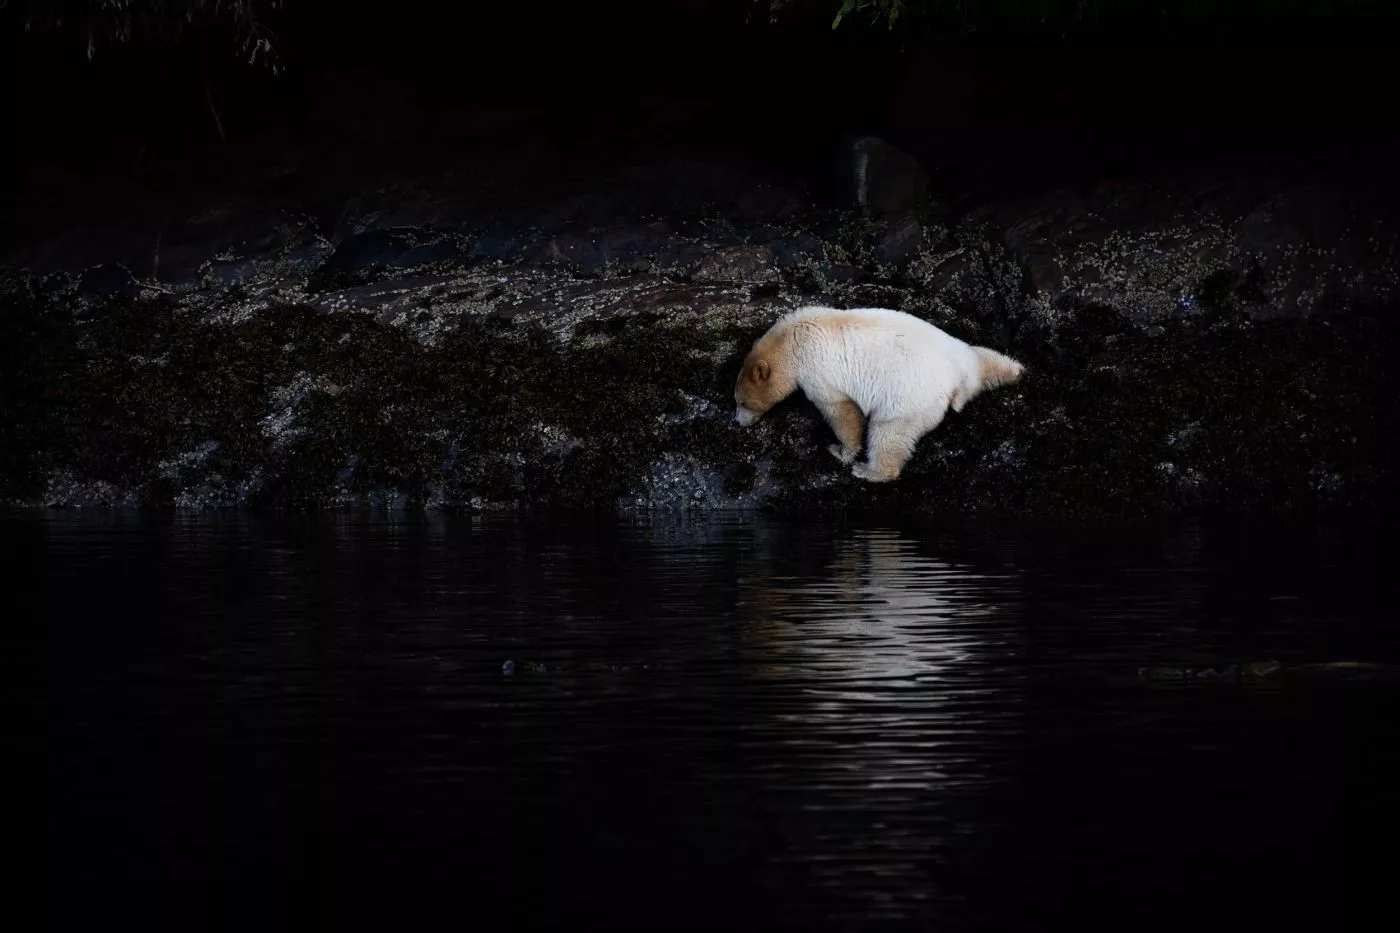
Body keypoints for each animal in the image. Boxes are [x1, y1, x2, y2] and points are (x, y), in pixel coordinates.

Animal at [732, 305, 1025, 483]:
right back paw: (1015, 369)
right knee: (983, 357)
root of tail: (957, 380)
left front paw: (841, 451)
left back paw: (869, 470)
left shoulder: (817, 370)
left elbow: (840, 410)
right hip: (963, 354)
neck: (792, 340)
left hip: (908, 398)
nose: (738, 422)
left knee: (889, 432)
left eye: (742, 401)